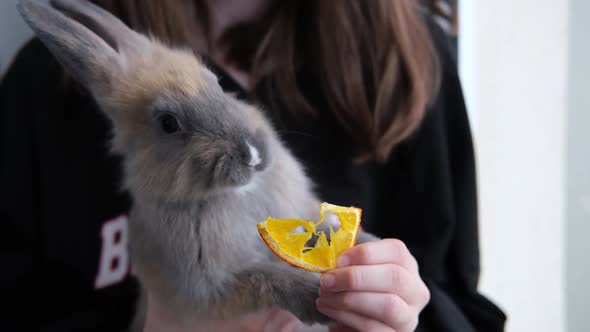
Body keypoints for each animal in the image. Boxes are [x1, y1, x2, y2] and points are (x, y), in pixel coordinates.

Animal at [17, 0, 380, 330]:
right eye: (168, 123)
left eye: (216, 83)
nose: (254, 154)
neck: (231, 194)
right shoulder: (209, 289)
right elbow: (266, 278)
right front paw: (313, 296)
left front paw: (371, 247)